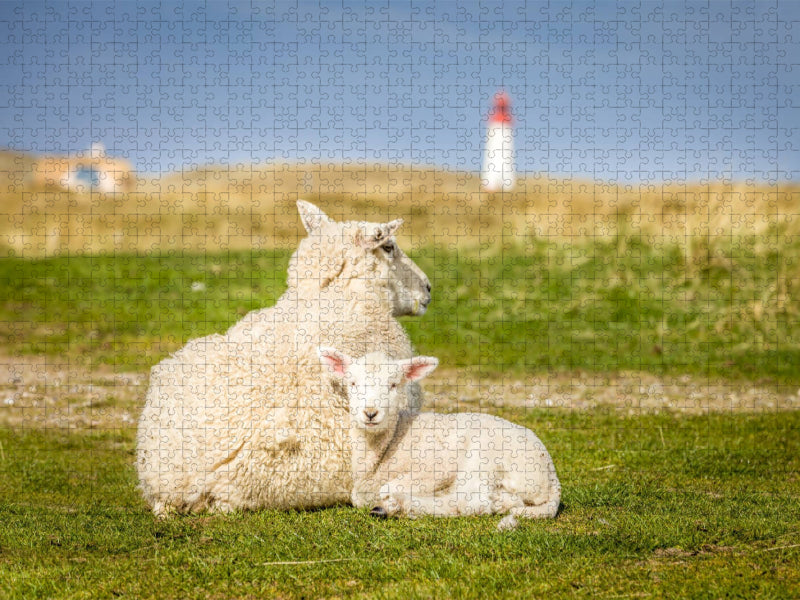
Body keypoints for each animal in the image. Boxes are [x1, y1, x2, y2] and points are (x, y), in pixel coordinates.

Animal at [318, 348, 561, 530]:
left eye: (394, 385)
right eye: (352, 384)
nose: (370, 413)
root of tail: (552, 478)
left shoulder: (436, 467)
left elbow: (384, 488)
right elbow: (359, 496)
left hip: (484, 458)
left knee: (473, 502)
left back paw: (399, 506)